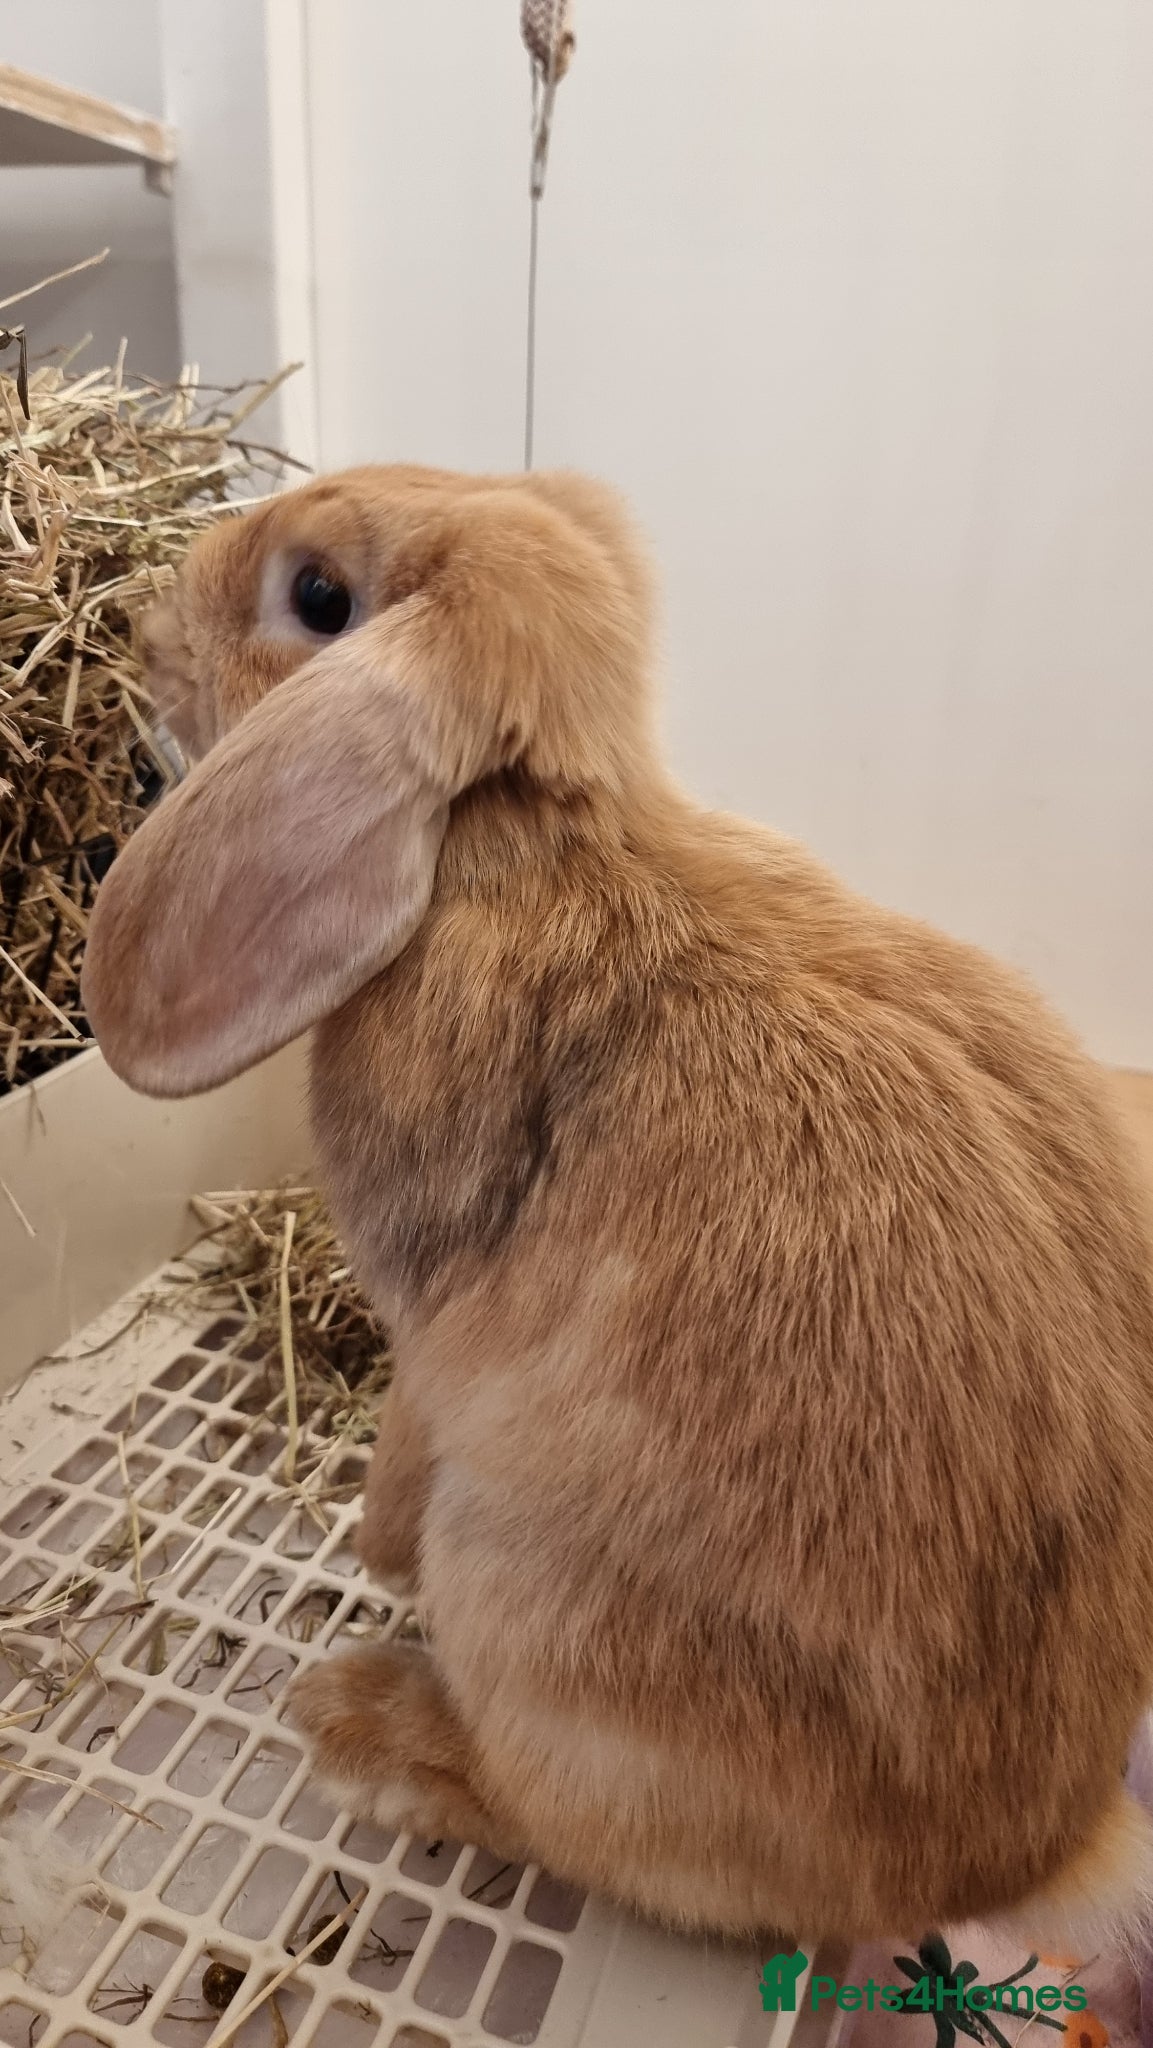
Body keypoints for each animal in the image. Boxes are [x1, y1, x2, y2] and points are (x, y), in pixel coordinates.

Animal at [81, 462, 1153, 1951]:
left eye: (318, 597)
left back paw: (364, 1722)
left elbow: (408, 1422)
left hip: (529, 1608)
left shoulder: (422, 1320)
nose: (150, 624)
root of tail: (1019, 1860)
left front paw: (371, 1546)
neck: (524, 854)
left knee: (548, 1814)